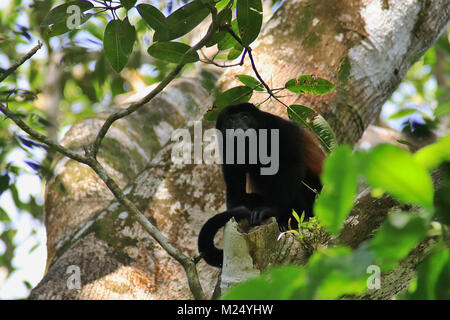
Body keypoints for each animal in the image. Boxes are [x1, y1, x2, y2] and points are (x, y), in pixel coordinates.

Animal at [197, 103, 324, 268]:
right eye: (230, 120)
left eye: (245, 116)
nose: (239, 127)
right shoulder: (227, 151)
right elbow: (234, 184)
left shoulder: (281, 129)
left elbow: (292, 167)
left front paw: (270, 210)